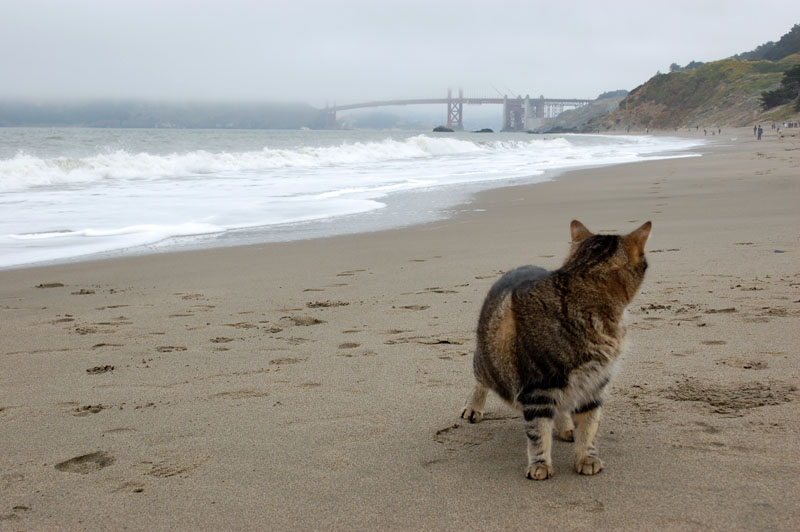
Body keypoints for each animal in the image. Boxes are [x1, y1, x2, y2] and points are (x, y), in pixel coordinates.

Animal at [460, 218, 652, 480]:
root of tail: (520, 265)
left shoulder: (593, 386)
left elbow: (589, 428)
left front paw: (586, 457)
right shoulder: (537, 390)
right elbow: (538, 432)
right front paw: (540, 464)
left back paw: (566, 427)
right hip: (487, 362)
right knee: (480, 383)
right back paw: (474, 408)